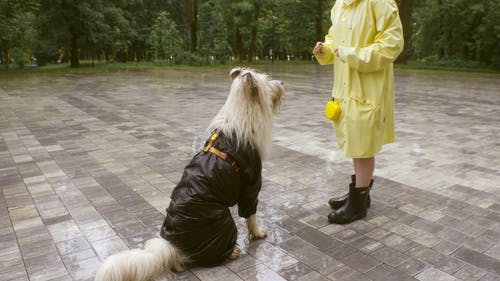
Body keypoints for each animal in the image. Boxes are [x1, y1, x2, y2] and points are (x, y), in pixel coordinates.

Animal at [94, 68, 286, 280]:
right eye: (267, 81)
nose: (282, 83)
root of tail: (173, 247)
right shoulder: (251, 184)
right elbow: (251, 215)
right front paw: (258, 233)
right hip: (222, 219)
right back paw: (231, 253)